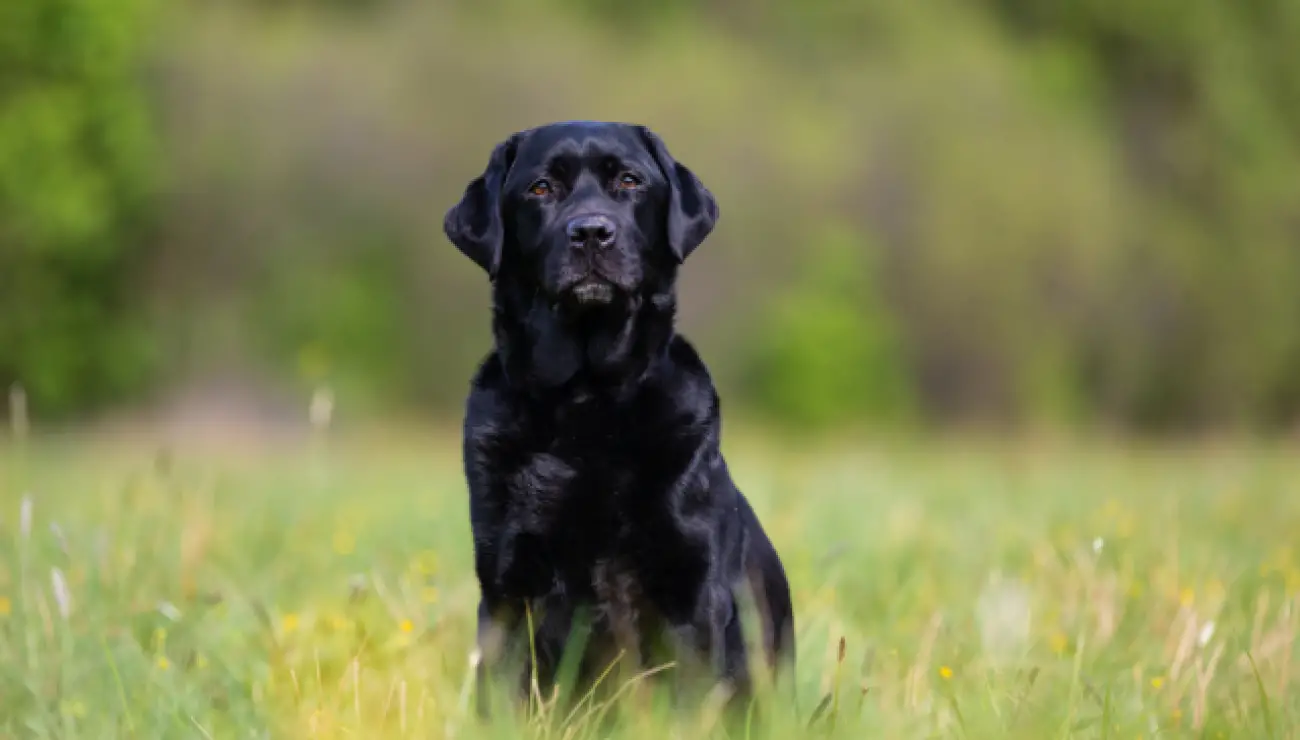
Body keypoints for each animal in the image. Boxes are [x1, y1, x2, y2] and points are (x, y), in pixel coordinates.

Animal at [444, 120, 790, 707]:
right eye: (541, 188)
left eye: (629, 181)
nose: (590, 232)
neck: (586, 403)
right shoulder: (508, 595)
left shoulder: (688, 594)